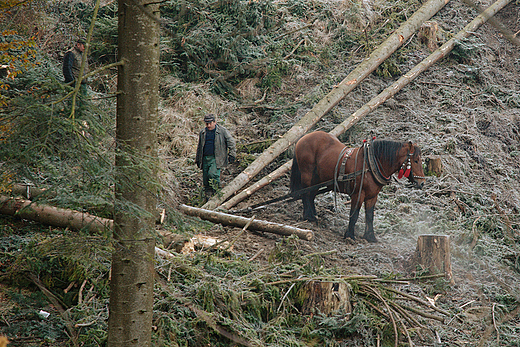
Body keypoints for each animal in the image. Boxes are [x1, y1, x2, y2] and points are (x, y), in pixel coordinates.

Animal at [290, 130, 424, 242]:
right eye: (416, 160)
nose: (422, 182)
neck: (371, 164)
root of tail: (303, 138)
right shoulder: (358, 194)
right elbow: (354, 215)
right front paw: (350, 235)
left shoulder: (372, 196)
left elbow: (369, 216)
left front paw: (370, 237)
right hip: (307, 175)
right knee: (305, 194)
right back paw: (309, 217)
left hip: (318, 179)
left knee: (311, 195)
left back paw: (313, 215)